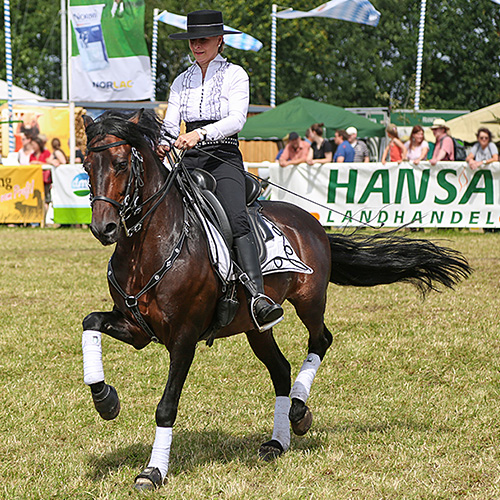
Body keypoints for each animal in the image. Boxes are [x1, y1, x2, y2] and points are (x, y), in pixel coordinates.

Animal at [82, 109, 472, 488]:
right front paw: (106, 401)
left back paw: (299, 411)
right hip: (256, 327)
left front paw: (153, 472)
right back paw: (278, 440)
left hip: (310, 301)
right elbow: (91, 322)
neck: (152, 245)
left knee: (321, 340)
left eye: (120, 163)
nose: (104, 228)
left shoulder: (184, 337)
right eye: (87, 166)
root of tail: (310, 221)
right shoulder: (137, 328)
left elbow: (166, 406)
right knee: (281, 370)